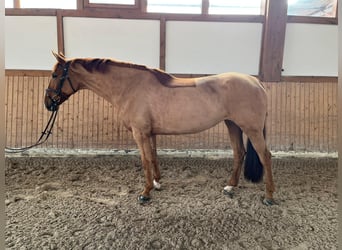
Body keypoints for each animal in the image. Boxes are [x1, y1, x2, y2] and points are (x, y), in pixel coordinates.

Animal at [44, 52, 276, 205]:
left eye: (55, 75)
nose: (48, 103)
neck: (130, 87)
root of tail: (255, 82)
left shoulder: (140, 134)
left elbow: (145, 159)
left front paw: (146, 193)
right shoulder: (150, 133)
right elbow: (154, 156)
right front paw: (157, 183)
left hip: (251, 129)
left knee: (265, 156)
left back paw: (269, 196)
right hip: (233, 125)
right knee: (239, 153)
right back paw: (230, 186)